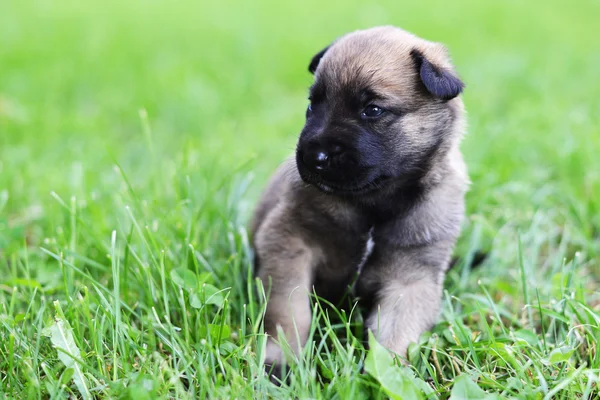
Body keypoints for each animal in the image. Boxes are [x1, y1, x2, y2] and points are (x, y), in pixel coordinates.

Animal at [248, 26, 468, 374]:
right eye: (312, 104)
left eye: (372, 110)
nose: (314, 157)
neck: (373, 201)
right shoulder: (289, 243)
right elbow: (289, 311)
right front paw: (281, 360)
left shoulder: (411, 277)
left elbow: (397, 331)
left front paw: (385, 374)